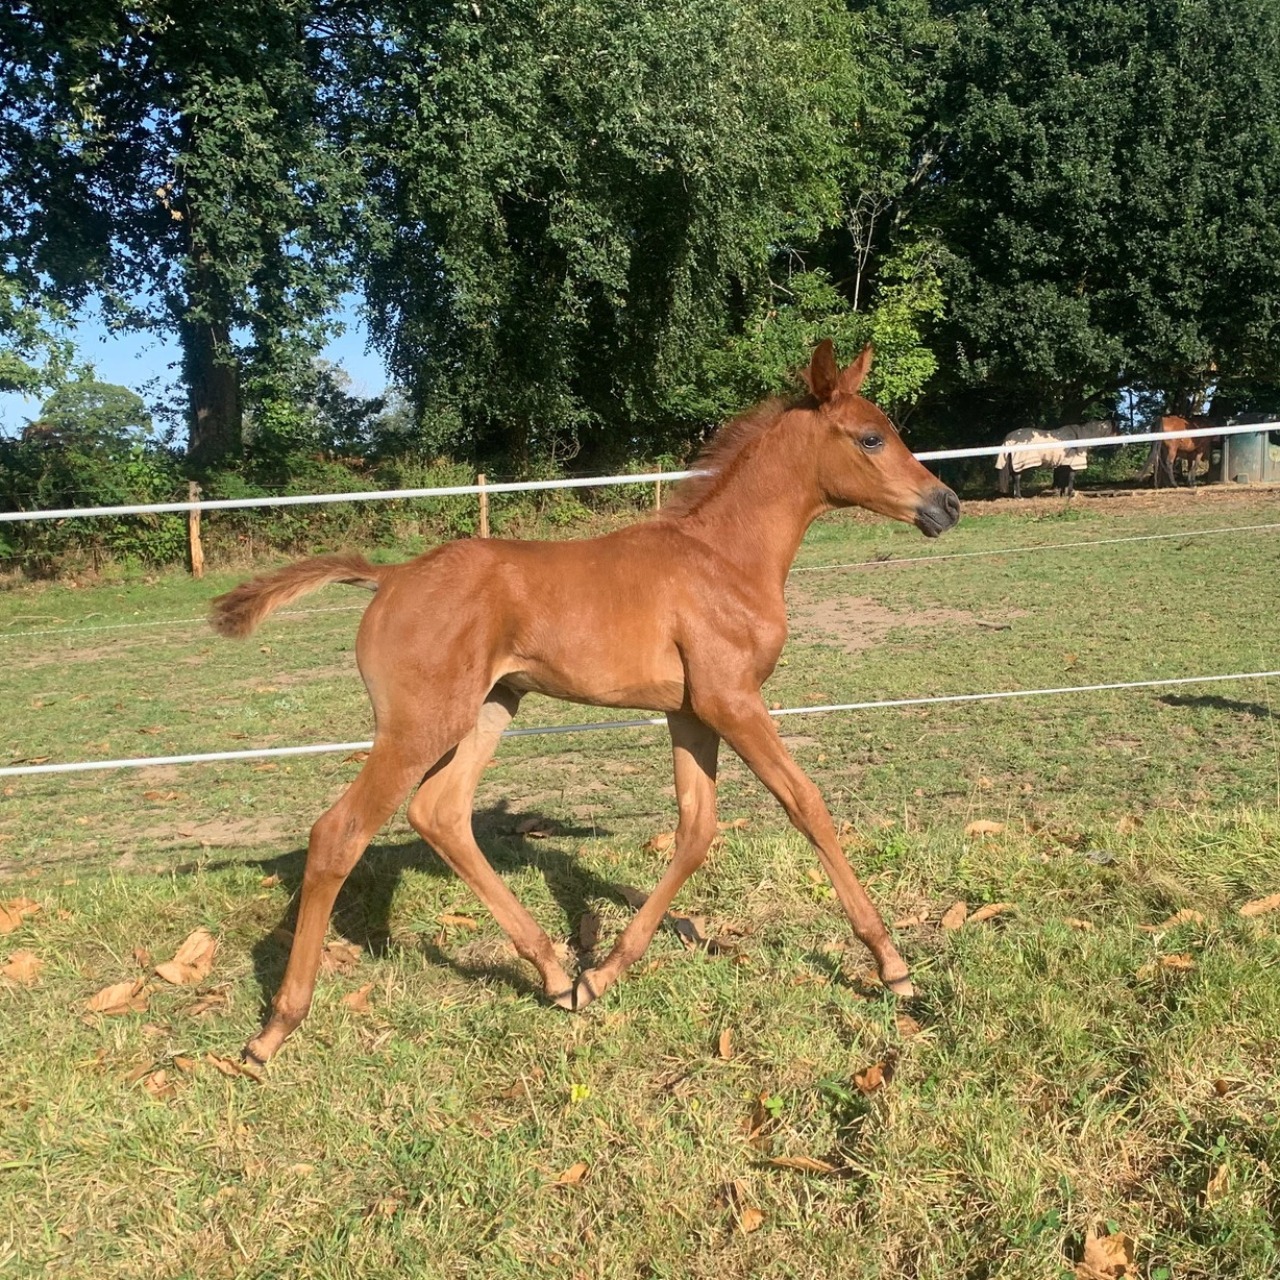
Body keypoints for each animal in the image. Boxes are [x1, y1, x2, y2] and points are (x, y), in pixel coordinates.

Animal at [209, 337, 957, 1059]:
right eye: (870, 438)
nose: (946, 504)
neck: (724, 559)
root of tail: (388, 578)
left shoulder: (691, 711)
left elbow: (695, 829)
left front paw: (603, 972)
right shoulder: (733, 700)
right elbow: (807, 805)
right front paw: (894, 967)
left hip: (488, 709)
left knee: (439, 812)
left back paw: (554, 973)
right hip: (420, 724)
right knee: (340, 833)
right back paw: (275, 1028)